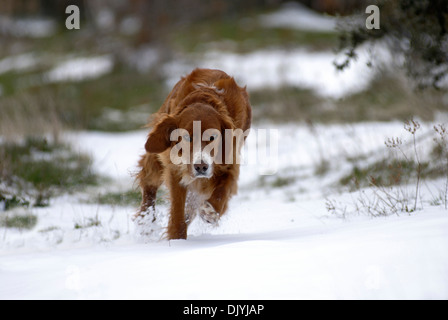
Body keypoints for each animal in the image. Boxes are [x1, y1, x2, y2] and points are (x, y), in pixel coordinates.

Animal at [133, 69, 252, 239]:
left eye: (212, 137)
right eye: (187, 137)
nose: (201, 167)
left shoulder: (230, 162)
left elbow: (224, 188)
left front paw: (211, 211)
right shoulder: (175, 168)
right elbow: (177, 209)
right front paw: (177, 238)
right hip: (157, 156)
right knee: (148, 183)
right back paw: (146, 222)